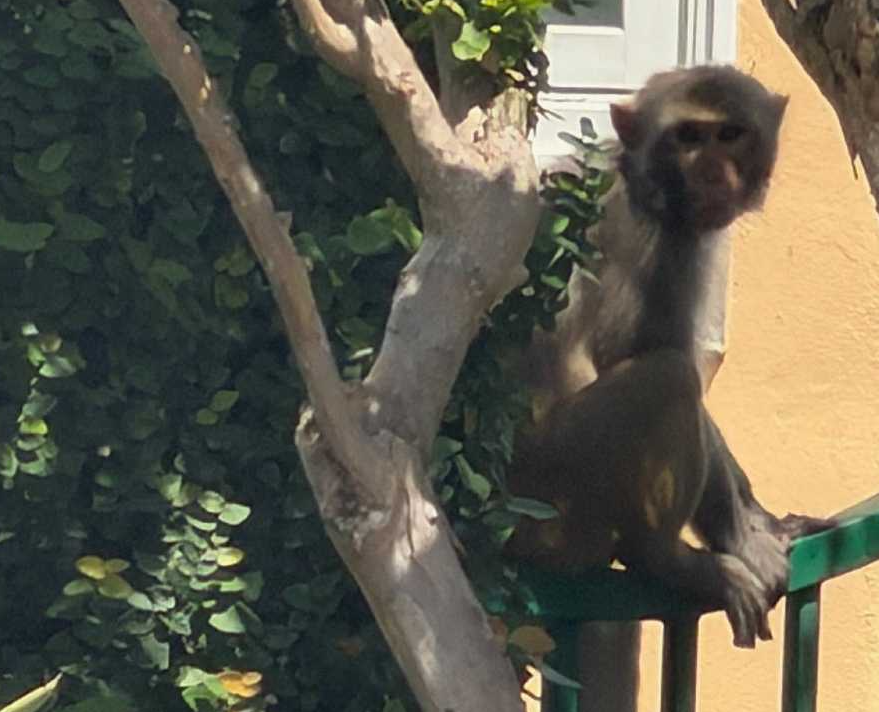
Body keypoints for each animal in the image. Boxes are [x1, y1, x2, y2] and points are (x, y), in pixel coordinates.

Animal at [507, 66, 828, 648]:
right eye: (687, 137)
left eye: (729, 134)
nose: (714, 172)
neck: (640, 179)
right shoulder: (660, 249)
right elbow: (654, 359)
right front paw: (742, 540)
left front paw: (763, 521)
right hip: (555, 494)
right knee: (669, 377)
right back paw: (660, 557)